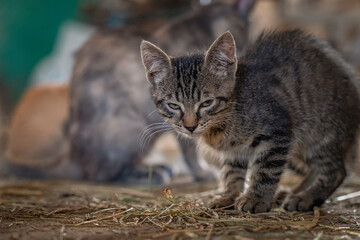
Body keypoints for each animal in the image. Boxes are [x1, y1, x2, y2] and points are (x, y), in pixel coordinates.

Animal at [141, 29, 360, 212]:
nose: (190, 126)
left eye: (206, 103)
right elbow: (231, 171)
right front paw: (229, 195)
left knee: (336, 170)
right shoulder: (235, 150)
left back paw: (305, 197)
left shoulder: (278, 131)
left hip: (320, 131)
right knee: (315, 167)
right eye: (173, 105)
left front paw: (256, 199)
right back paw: (292, 192)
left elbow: (265, 170)